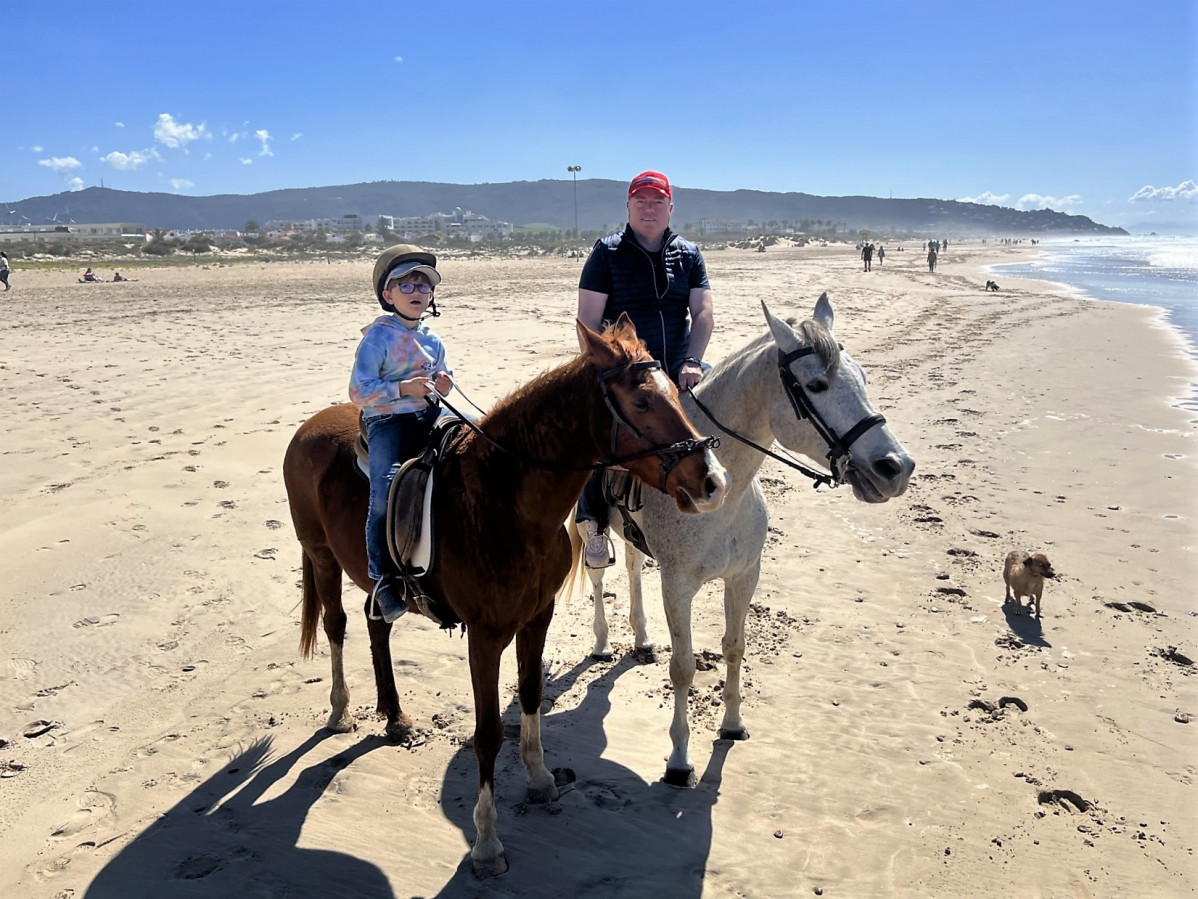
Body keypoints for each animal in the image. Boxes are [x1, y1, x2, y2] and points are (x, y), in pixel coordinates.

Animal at [283, 314, 723, 872]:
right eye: (642, 402)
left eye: (672, 389)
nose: (713, 482)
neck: (506, 500)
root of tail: (310, 427)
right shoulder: (486, 635)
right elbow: (488, 732)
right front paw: (487, 841)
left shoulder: (538, 617)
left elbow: (532, 695)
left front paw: (539, 780)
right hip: (320, 555)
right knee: (336, 625)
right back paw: (341, 711)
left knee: (375, 620)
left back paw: (395, 717)